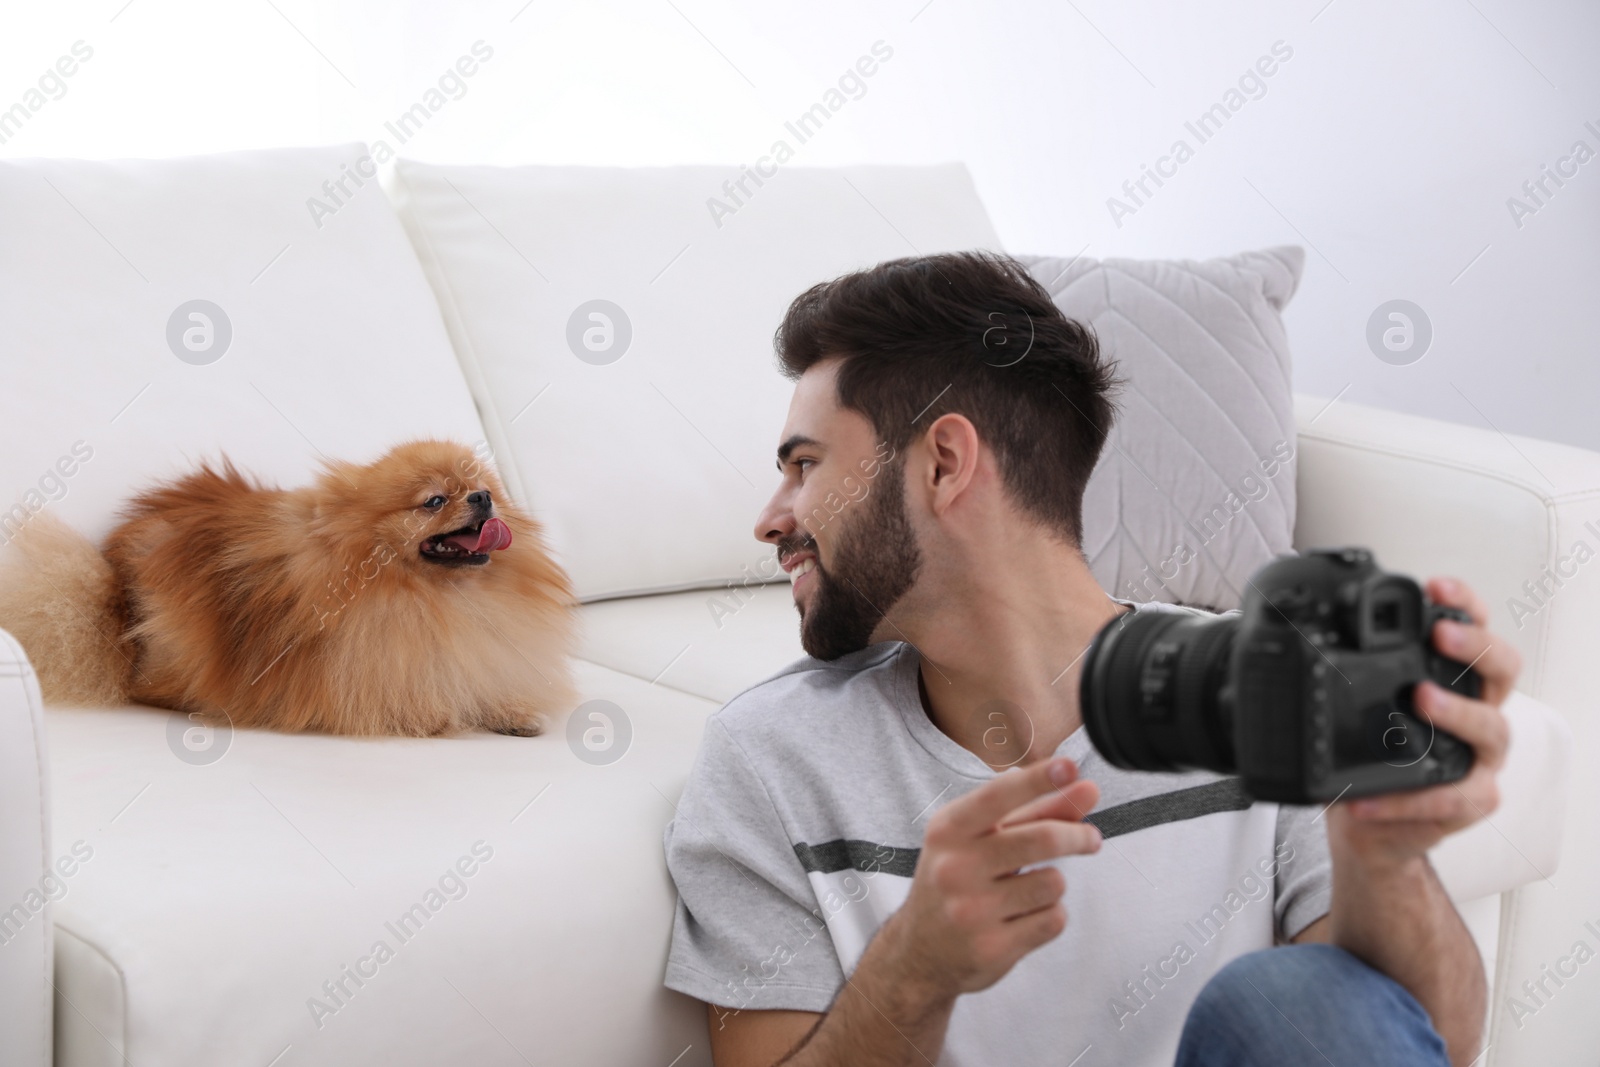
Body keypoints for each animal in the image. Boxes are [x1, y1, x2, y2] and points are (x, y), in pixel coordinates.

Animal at [0, 441, 579, 735]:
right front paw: (435, 717)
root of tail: (111, 579)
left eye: (481, 488)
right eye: (434, 501)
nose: (483, 498)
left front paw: (509, 712)